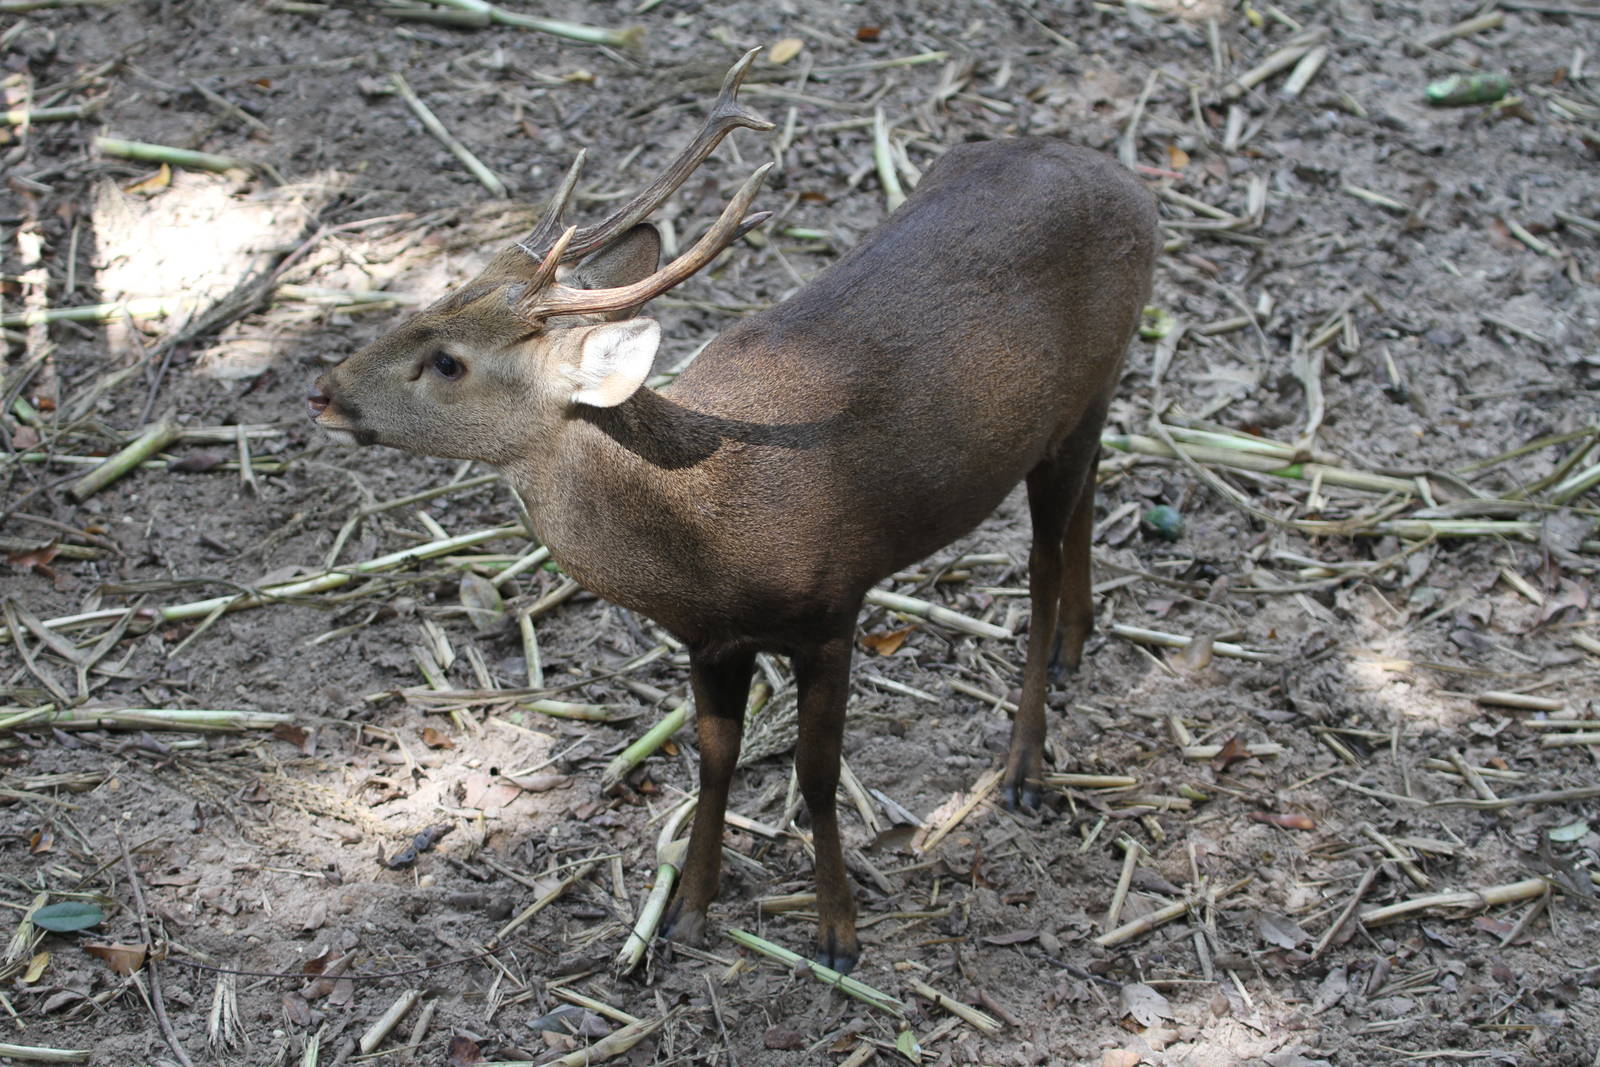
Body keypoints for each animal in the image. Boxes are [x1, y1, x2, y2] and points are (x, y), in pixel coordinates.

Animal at [308, 50, 1158, 973]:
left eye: (447, 361)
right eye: (438, 296)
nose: (323, 389)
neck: (708, 539)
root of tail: (1129, 181)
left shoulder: (832, 606)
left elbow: (816, 772)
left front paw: (837, 931)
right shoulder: (708, 638)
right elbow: (712, 761)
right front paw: (687, 910)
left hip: (1080, 394)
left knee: (1039, 572)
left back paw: (1026, 764)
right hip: (1085, 405)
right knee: (1090, 488)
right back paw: (1078, 641)